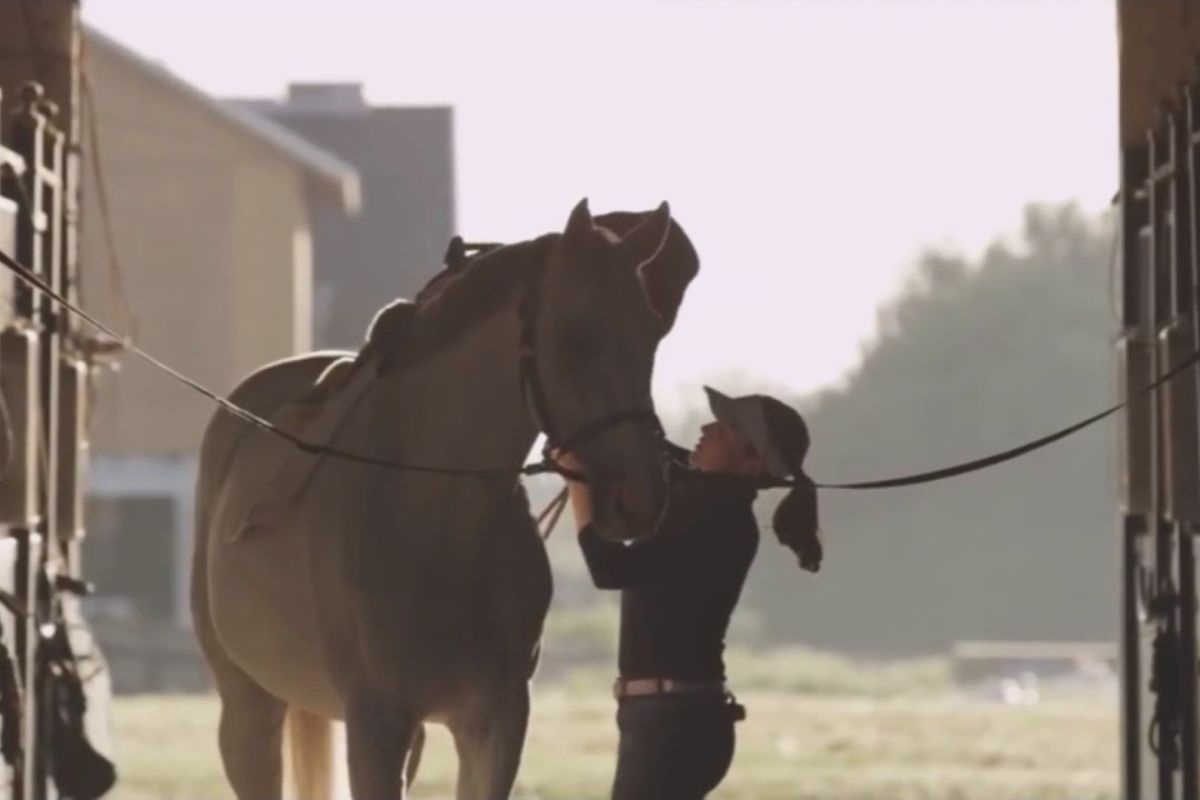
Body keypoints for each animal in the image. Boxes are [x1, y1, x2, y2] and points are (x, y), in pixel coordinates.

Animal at [190, 195, 700, 800]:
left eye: (652, 333)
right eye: (576, 334)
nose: (639, 496)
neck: (437, 521)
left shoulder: (494, 723)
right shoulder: (376, 725)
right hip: (249, 710)